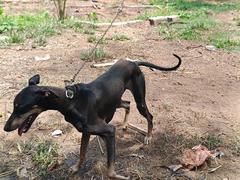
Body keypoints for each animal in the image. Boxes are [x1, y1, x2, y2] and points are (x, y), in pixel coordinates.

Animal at [4, 54, 182, 179]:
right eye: (14, 106)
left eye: (20, 107)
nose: (5, 128)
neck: (71, 101)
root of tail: (133, 62)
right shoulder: (87, 132)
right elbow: (82, 153)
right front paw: (76, 168)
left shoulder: (109, 131)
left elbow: (110, 171)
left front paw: (122, 176)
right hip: (116, 101)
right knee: (127, 104)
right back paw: (125, 125)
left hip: (140, 101)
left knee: (149, 116)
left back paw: (149, 137)